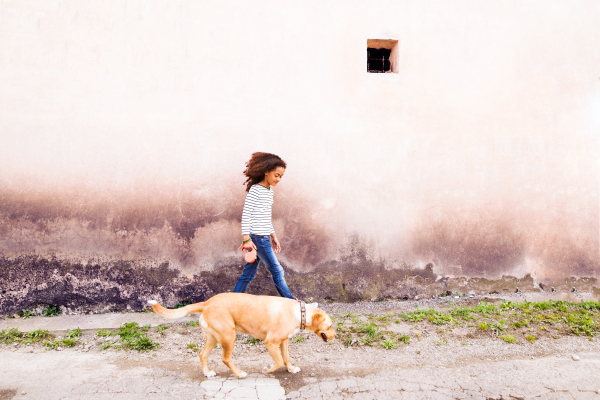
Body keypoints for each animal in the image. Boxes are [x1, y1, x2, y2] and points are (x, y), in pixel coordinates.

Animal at [145, 292, 332, 376]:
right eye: (330, 326)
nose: (334, 336)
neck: (299, 312)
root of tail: (207, 303)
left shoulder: (284, 341)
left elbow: (286, 358)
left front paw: (291, 369)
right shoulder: (270, 342)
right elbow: (278, 361)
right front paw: (268, 370)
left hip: (213, 338)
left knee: (202, 355)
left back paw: (207, 373)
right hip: (229, 337)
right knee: (225, 359)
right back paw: (239, 374)